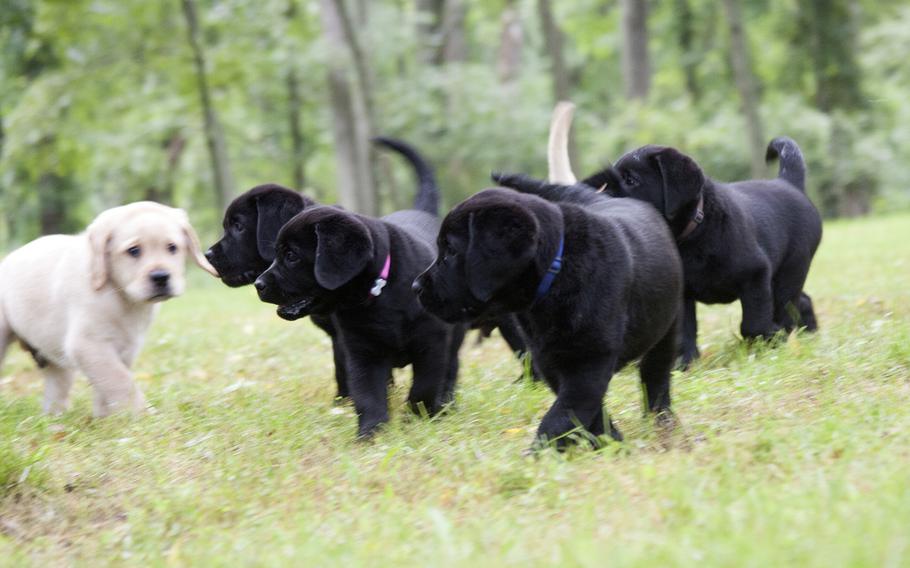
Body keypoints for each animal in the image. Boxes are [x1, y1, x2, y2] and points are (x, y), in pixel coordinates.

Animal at [0, 202, 216, 414]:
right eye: (134, 250)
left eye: (172, 247)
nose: (161, 277)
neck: (121, 295)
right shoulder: (89, 345)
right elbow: (120, 381)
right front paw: (141, 415)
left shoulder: (125, 349)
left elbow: (108, 387)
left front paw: (108, 419)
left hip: (54, 356)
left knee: (57, 386)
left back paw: (54, 417)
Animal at [256, 202, 470, 438]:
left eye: (291, 255)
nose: (258, 284)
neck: (380, 290)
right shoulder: (362, 350)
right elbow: (368, 394)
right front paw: (370, 433)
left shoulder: (432, 343)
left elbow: (425, 385)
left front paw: (417, 418)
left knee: (451, 370)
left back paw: (447, 405)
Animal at [410, 184, 680, 450]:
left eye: (451, 251)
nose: (416, 286)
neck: (558, 271)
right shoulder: (548, 358)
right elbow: (580, 411)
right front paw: (608, 438)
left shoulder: (590, 358)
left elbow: (562, 415)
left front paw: (539, 453)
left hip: (667, 328)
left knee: (655, 373)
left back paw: (661, 418)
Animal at [498, 138, 828, 368]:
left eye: (631, 180)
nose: (597, 197)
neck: (692, 237)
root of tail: (789, 183)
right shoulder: (681, 294)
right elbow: (685, 331)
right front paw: (685, 363)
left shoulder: (755, 275)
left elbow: (753, 322)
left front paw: (764, 346)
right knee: (802, 301)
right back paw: (810, 334)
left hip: (788, 273)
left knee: (786, 305)